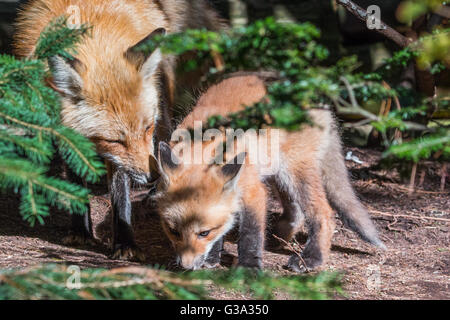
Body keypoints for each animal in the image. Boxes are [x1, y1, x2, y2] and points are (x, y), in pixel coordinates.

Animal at [14, 0, 223, 260]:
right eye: (114, 141)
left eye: (147, 128)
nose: (153, 175)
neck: (92, 32)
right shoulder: (70, 136)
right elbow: (76, 179)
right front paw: (81, 230)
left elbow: (121, 196)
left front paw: (125, 242)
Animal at [153, 76, 384, 272]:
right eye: (173, 231)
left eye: (204, 233)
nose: (185, 266)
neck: (203, 147)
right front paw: (213, 257)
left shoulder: (254, 191)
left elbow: (251, 233)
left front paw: (249, 267)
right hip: (277, 175)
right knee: (296, 210)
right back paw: (282, 235)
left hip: (295, 172)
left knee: (324, 213)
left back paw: (311, 258)